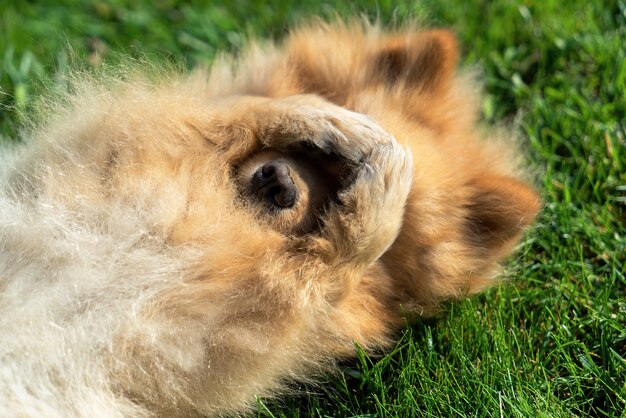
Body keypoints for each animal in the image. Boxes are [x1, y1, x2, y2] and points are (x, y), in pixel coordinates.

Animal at [0, 20, 536, 418]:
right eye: (317, 161)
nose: (281, 183)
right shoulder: (64, 168)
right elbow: (220, 113)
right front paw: (323, 116)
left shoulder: (202, 336)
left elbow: (327, 272)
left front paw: (383, 188)